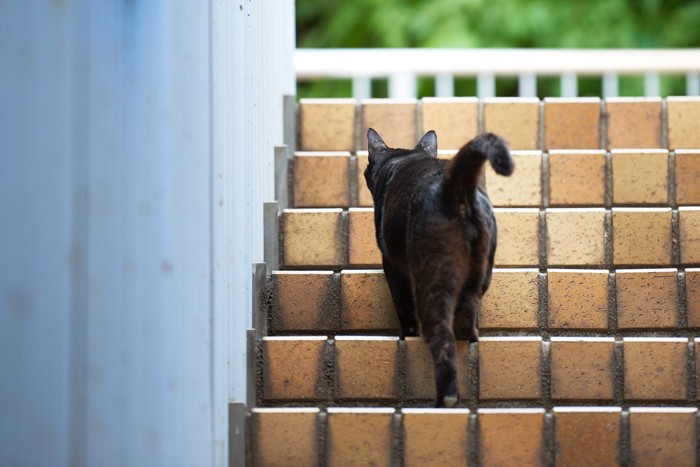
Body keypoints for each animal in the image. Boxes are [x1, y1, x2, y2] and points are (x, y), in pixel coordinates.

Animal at [364, 129, 512, 410]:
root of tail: (451, 185)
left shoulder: (392, 266)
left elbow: (404, 310)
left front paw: (406, 337)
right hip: (479, 272)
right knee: (466, 315)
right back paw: (472, 339)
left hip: (430, 277)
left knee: (440, 334)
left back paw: (446, 398)